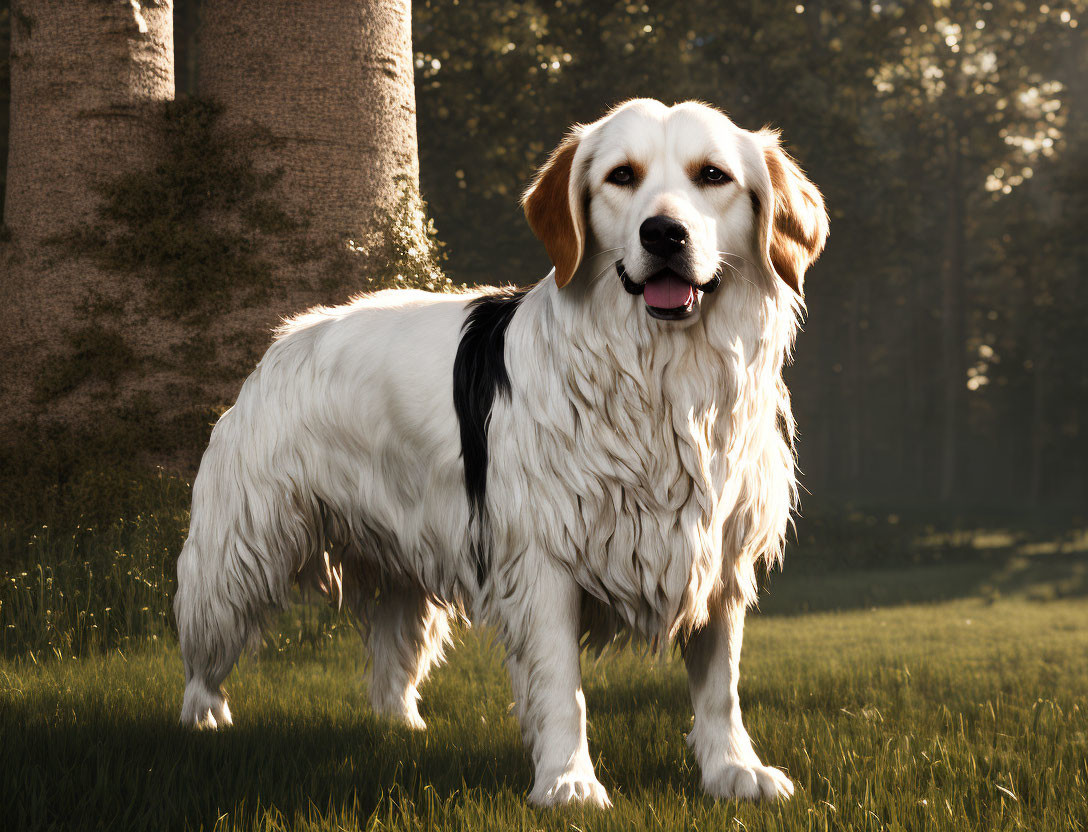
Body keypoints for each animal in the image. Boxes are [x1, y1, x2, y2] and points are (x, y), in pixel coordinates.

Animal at [174, 97, 826, 804]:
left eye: (713, 175)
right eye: (621, 176)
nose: (663, 235)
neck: (660, 374)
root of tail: (287, 336)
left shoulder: (718, 556)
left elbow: (719, 685)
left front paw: (732, 770)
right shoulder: (542, 558)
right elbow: (562, 687)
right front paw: (568, 781)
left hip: (403, 557)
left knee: (393, 652)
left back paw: (400, 727)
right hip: (239, 552)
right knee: (204, 647)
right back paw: (204, 718)